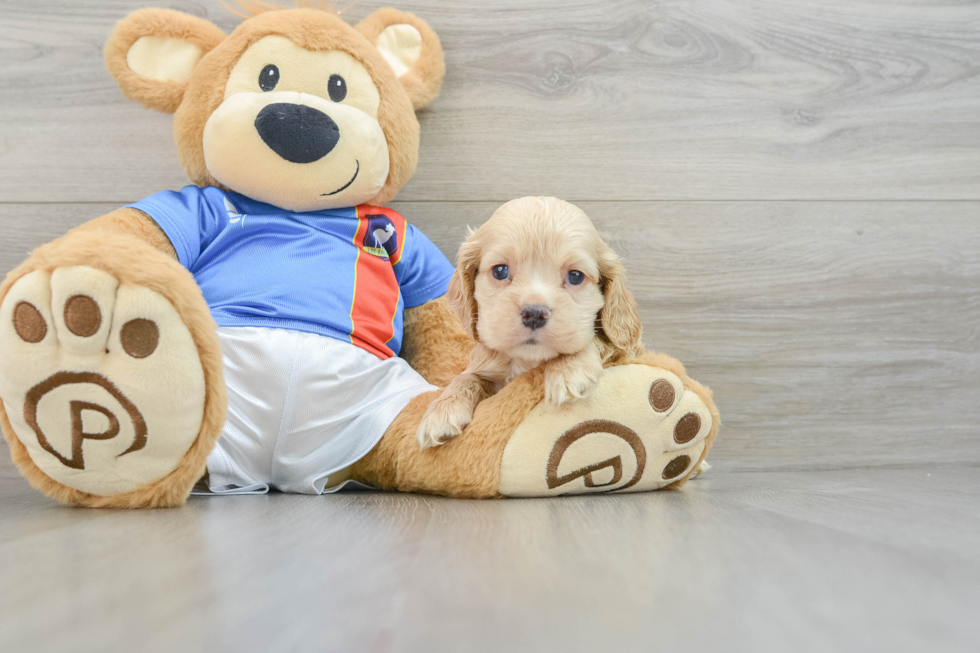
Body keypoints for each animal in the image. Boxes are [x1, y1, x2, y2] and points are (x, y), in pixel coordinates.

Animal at [414, 195, 644, 448]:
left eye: (575, 276)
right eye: (500, 271)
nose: (534, 313)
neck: (527, 360)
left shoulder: (626, 351)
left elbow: (594, 340)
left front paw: (569, 370)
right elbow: (467, 376)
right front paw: (442, 411)